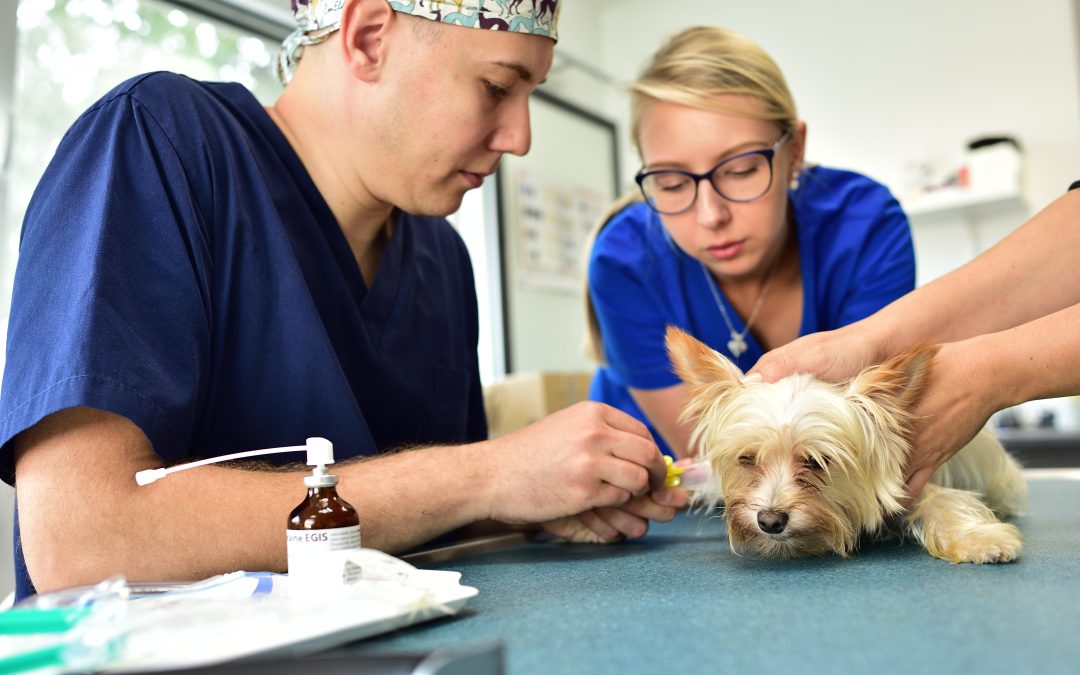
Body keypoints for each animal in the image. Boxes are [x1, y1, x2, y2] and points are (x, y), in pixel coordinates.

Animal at [665, 326, 1028, 561]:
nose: (770, 521)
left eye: (816, 462)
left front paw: (980, 538)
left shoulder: (910, 481)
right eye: (747, 458)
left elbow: (943, 501)